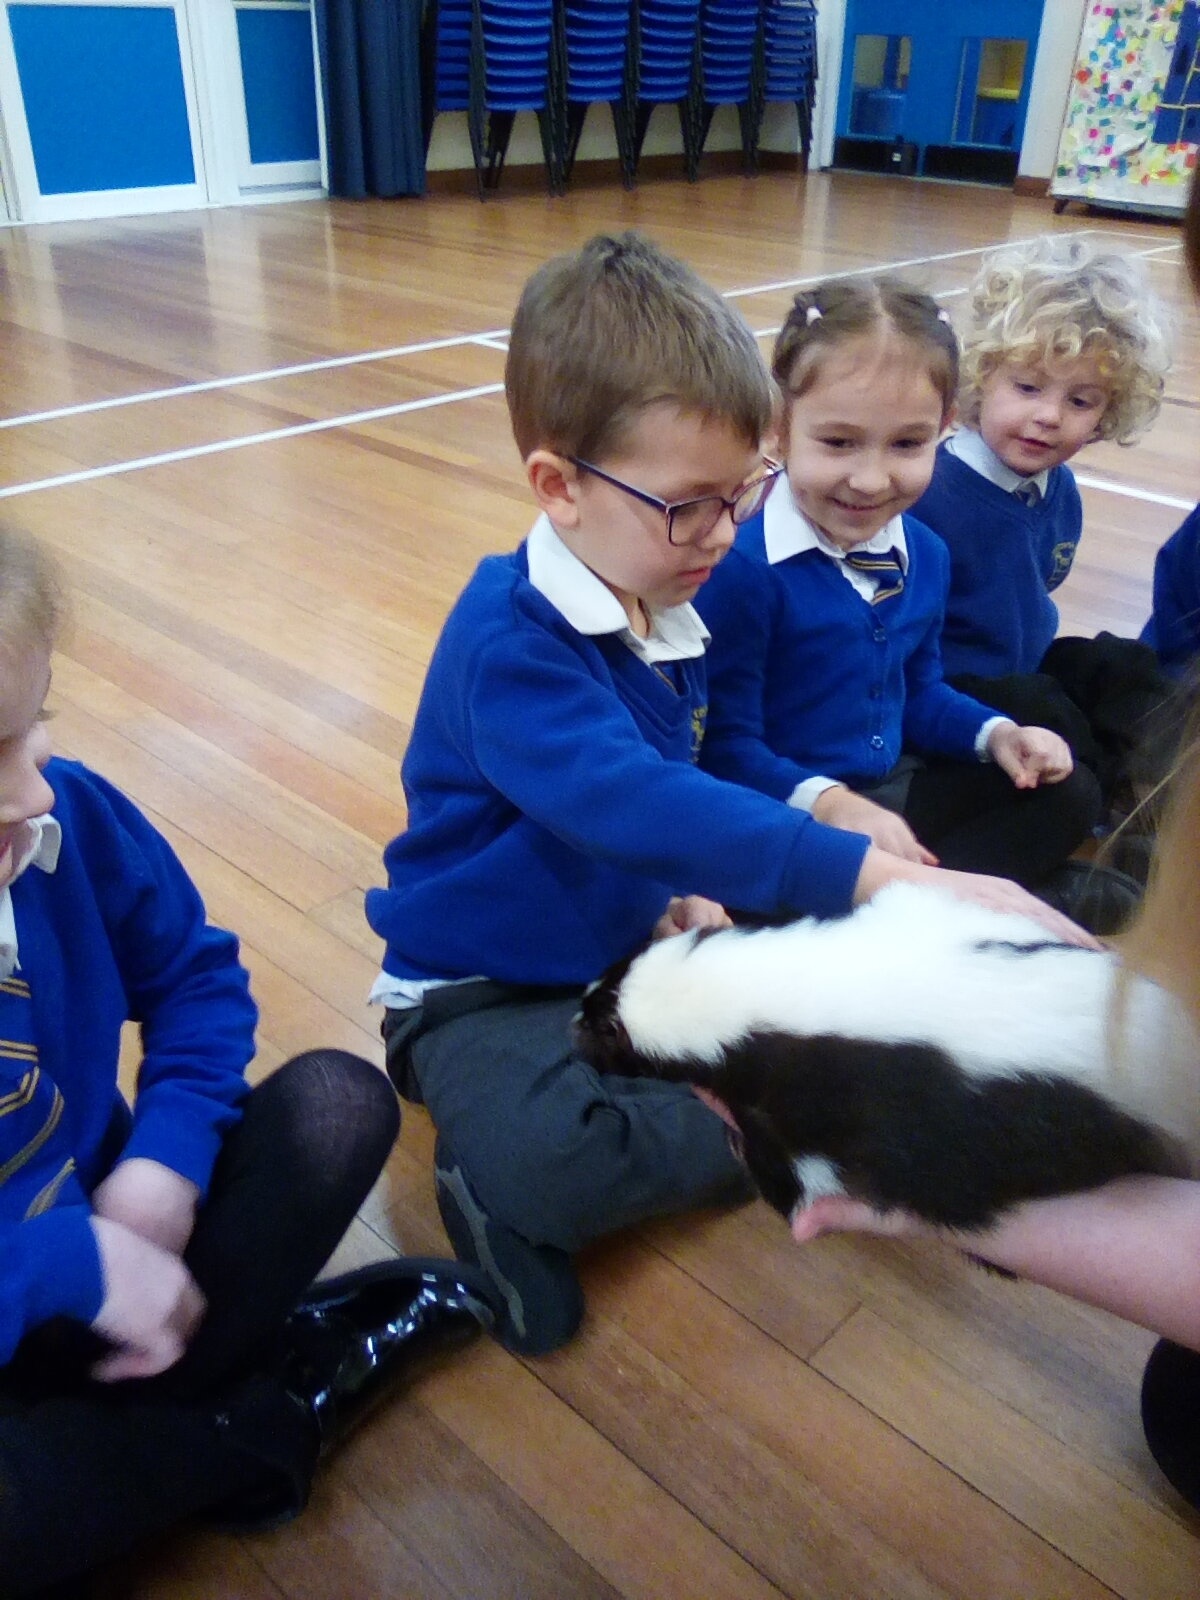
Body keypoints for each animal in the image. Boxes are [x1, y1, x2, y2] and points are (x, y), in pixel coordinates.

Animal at [574, 883, 1200, 1230]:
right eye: (609, 975)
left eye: (605, 1033)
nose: (570, 1022)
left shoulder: (838, 1102)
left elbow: (800, 1166)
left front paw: (770, 1180)